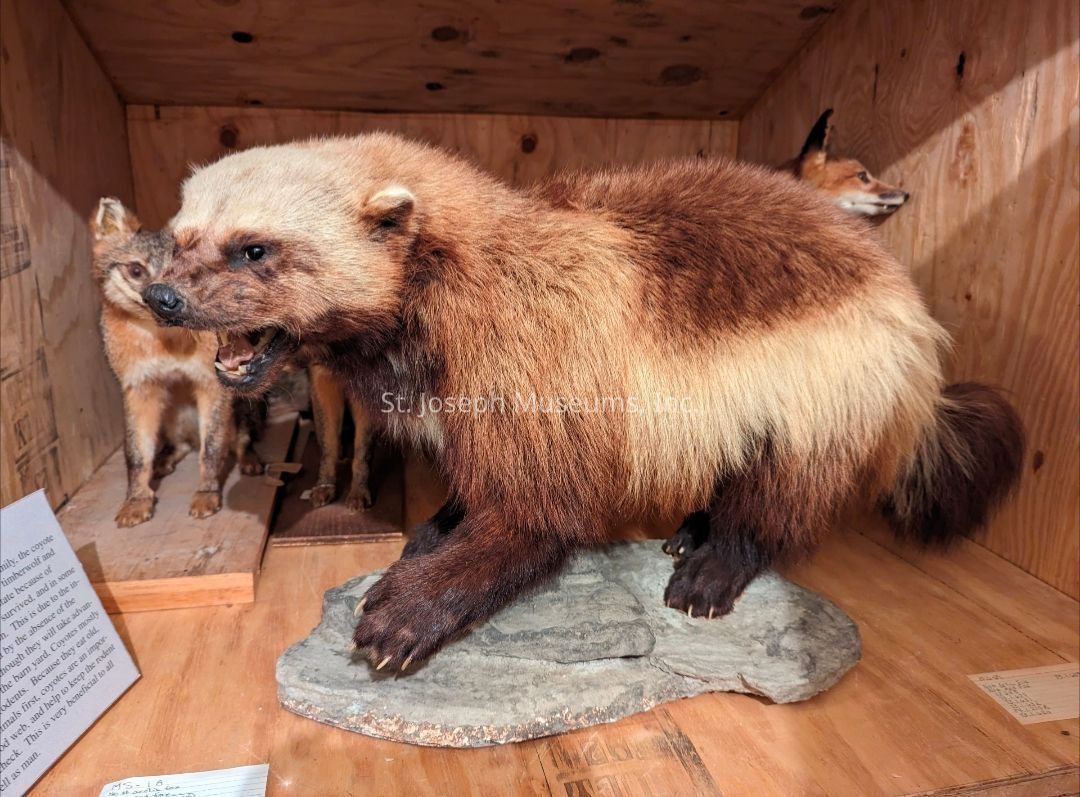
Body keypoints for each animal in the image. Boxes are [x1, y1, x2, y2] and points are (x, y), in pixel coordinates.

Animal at [91, 198, 264, 527]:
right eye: (136, 270)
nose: (160, 299)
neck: (165, 345)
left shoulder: (213, 386)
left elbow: (212, 449)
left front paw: (207, 493)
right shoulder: (139, 388)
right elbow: (136, 454)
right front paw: (136, 500)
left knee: (240, 440)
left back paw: (249, 460)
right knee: (182, 445)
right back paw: (165, 460)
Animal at [142, 134, 1023, 670]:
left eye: (255, 249)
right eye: (180, 238)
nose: (161, 296)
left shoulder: (537, 358)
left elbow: (541, 511)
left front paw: (409, 608)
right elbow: (479, 484)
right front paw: (435, 527)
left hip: (829, 389)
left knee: (784, 491)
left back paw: (713, 564)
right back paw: (691, 526)